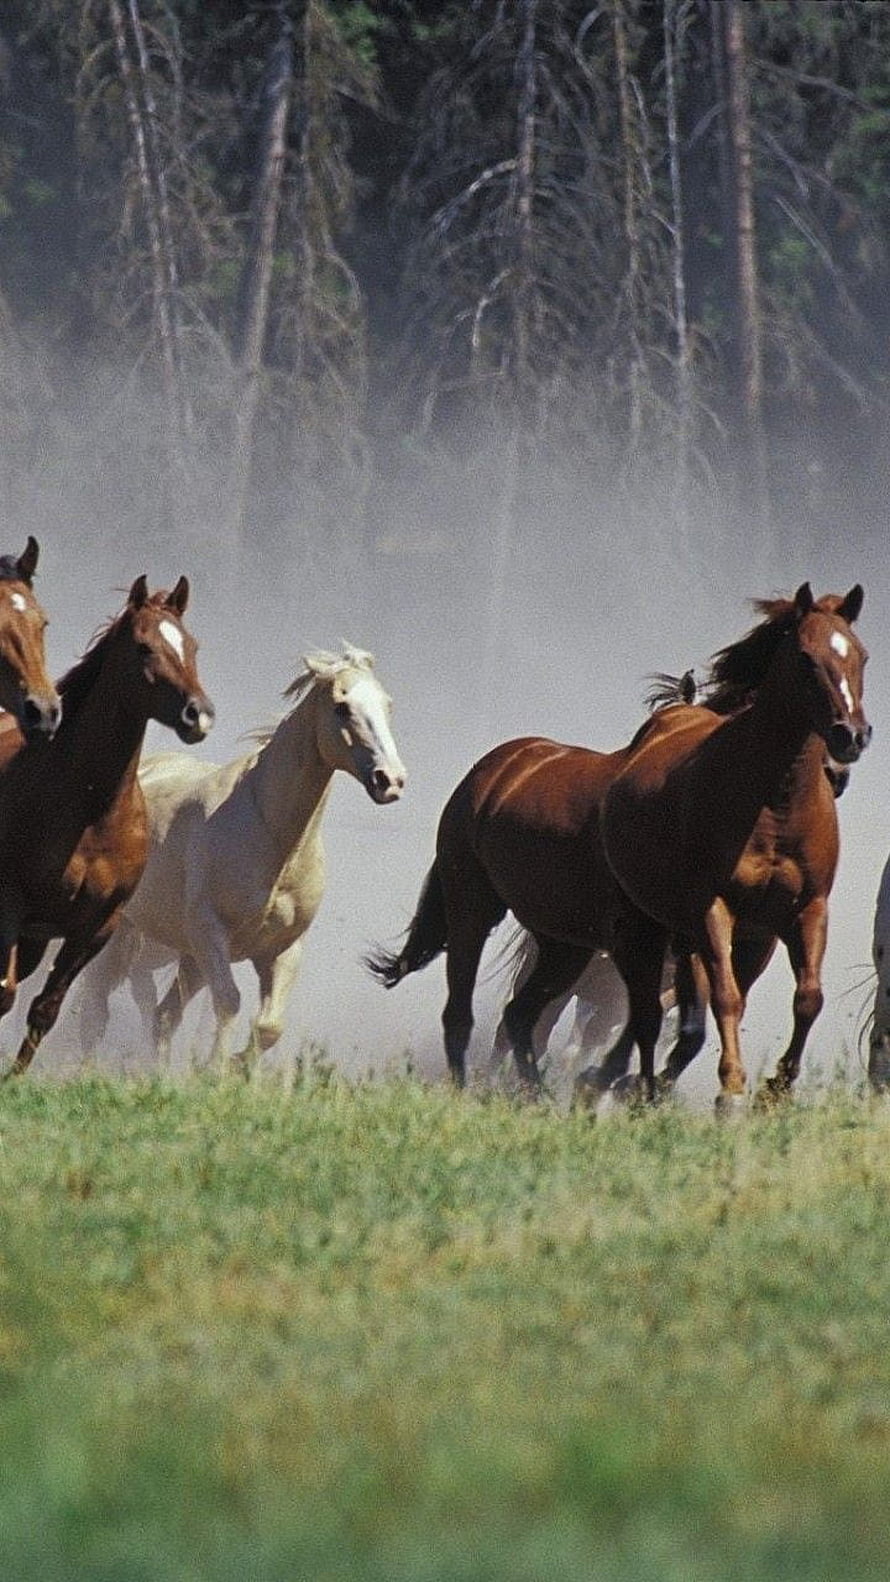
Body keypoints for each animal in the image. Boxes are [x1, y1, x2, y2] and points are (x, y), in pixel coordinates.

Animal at [0, 575, 215, 1077]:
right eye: (143, 647)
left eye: (192, 645)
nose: (198, 714)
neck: (91, 812)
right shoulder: (10, 904)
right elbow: (6, 993)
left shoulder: (97, 926)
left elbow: (45, 1009)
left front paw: (15, 1078)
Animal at [73, 646, 406, 1070]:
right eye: (342, 706)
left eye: (388, 704)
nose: (390, 780)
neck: (273, 840)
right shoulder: (212, 934)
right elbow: (229, 1002)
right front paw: (215, 1069)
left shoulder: (281, 950)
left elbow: (269, 1027)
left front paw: (234, 1066)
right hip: (122, 937)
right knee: (95, 1011)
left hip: (188, 956)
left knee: (163, 1016)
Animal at [598, 583, 870, 1111]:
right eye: (805, 656)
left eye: (862, 656)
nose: (851, 736)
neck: (775, 805)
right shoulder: (713, 908)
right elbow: (724, 998)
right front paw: (731, 1091)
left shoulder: (804, 910)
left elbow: (808, 997)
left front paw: (777, 1088)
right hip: (646, 925)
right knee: (647, 1013)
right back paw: (637, 1086)